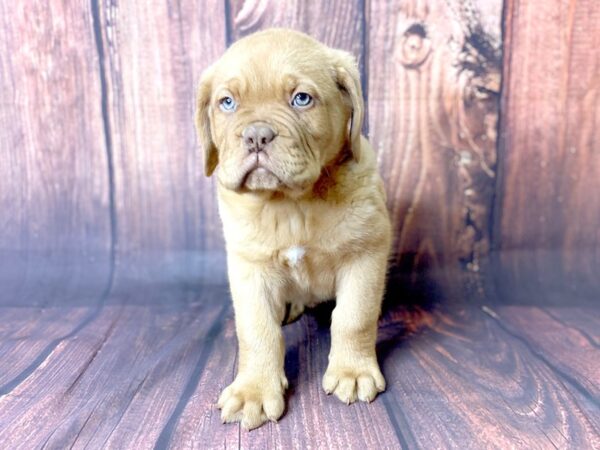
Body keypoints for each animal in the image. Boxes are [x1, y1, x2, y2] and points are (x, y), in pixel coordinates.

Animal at [197, 28, 394, 428]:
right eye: (227, 103)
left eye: (301, 99)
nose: (257, 135)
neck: (291, 204)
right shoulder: (249, 268)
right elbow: (257, 330)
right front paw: (254, 390)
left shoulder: (366, 252)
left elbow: (354, 317)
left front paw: (352, 371)